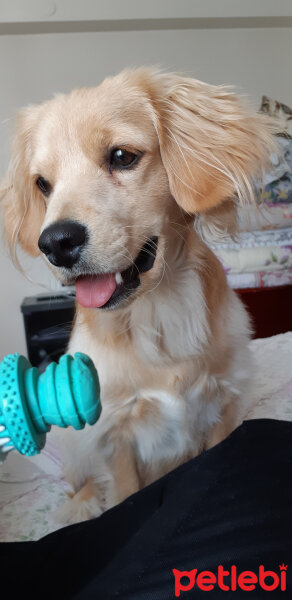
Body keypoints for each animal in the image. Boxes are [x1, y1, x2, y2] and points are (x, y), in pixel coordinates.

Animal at [0, 68, 274, 524]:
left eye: (122, 156)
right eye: (42, 184)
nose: (55, 243)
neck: (158, 310)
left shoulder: (225, 402)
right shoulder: (115, 434)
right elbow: (126, 492)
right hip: (76, 443)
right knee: (80, 479)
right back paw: (82, 502)